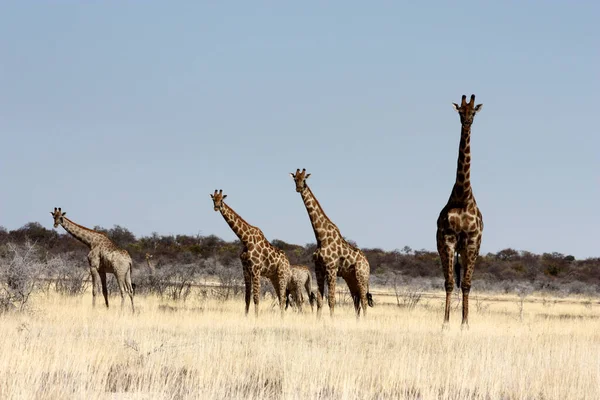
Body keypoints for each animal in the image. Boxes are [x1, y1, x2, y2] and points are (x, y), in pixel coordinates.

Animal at [210, 189, 292, 318]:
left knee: (283, 298)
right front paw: (246, 316)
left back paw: (282, 318)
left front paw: (256, 318)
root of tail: (287, 261)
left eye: (221, 199)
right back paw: (281, 318)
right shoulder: (245, 270)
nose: (216, 207)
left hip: (282, 274)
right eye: (213, 199)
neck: (245, 240)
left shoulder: (256, 269)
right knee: (280, 297)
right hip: (274, 277)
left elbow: (256, 297)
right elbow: (247, 298)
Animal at [290, 170, 372, 318]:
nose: (298, 188)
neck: (321, 238)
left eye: (304, 179)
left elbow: (331, 300)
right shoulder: (318, 269)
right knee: (356, 302)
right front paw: (318, 320)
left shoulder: (331, 269)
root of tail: (367, 264)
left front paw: (332, 320)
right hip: (351, 279)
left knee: (363, 301)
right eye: (295, 179)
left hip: (362, 277)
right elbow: (319, 300)